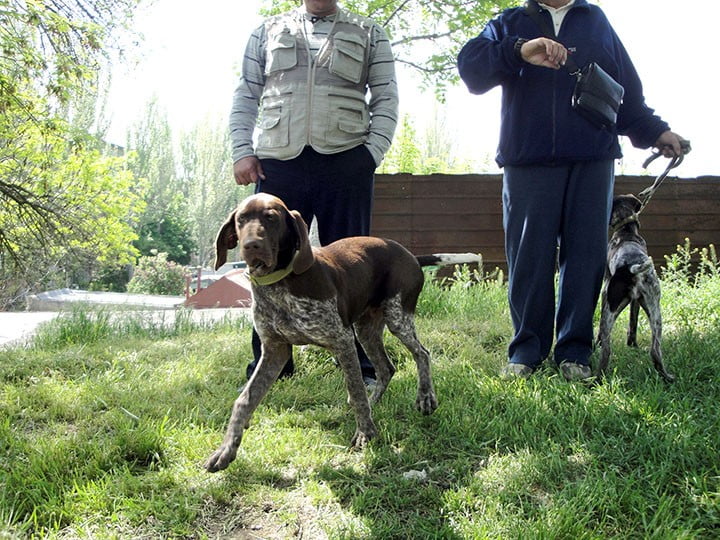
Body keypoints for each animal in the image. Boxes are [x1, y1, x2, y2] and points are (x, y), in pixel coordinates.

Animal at [205, 194, 480, 472]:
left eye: (271, 218)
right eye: (241, 220)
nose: (251, 245)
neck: (280, 283)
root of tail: (411, 255)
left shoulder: (341, 340)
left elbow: (356, 388)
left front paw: (365, 434)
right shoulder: (275, 351)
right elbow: (245, 401)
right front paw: (226, 450)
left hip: (397, 317)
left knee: (421, 354)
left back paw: (424, 398)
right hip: (366, 329)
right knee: (386, 368)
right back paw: (375, 402)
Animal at [596, 194, 676, 384]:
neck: (627, 232)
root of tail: (630, 267)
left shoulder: (610, 296)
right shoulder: (634, 302)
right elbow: (632, 324)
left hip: (610, 310)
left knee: (606, 350)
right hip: (656, 311)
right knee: (655, 351)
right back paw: (667, 377)